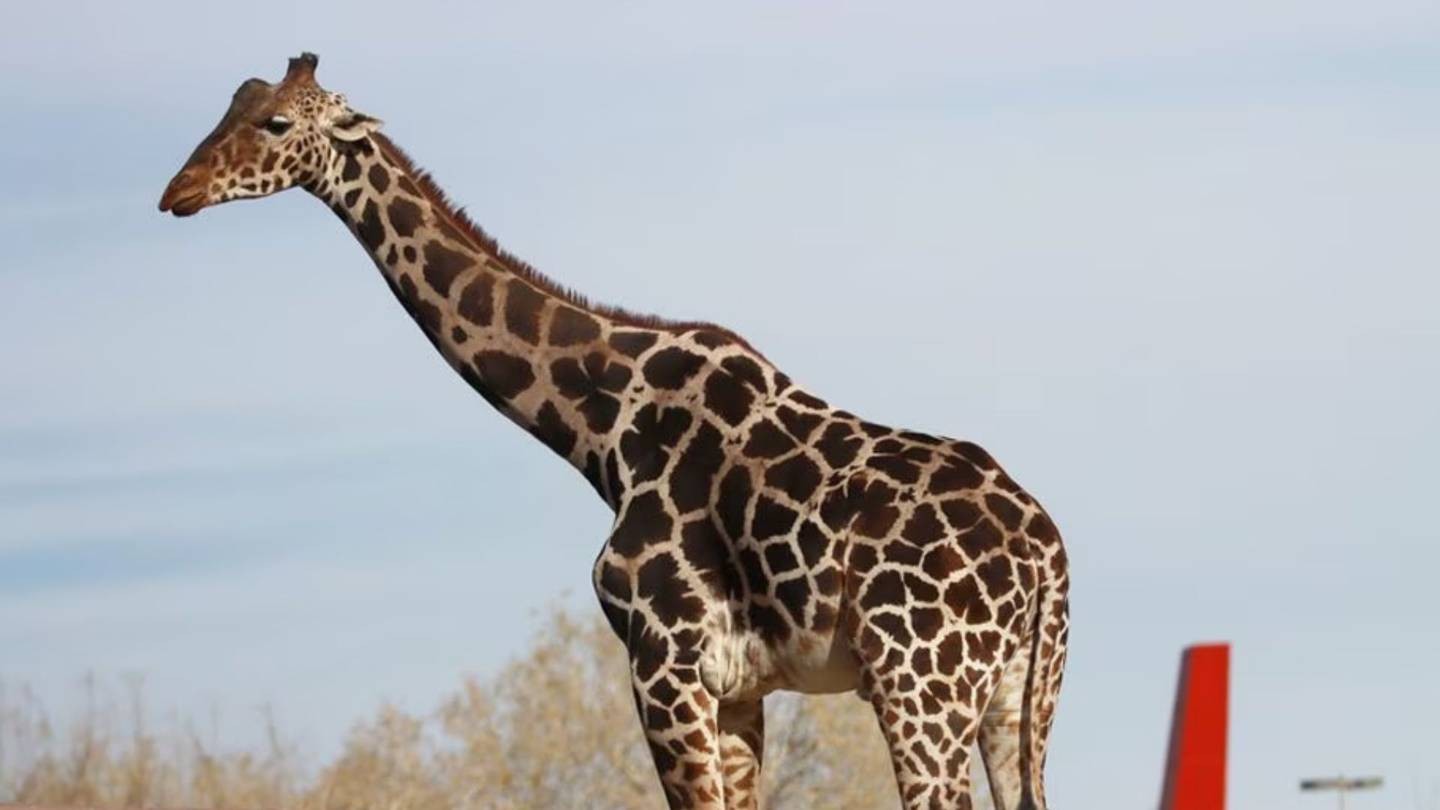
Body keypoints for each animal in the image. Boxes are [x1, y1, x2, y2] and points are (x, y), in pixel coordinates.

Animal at [158, 53, 1070, 810]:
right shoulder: (737, 689)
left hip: (921, 687)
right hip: (1015, 698)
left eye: (278, 123)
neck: (598, 430)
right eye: (232, 104)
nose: (178, 192)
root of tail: (1044, 557)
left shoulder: (663, 662)